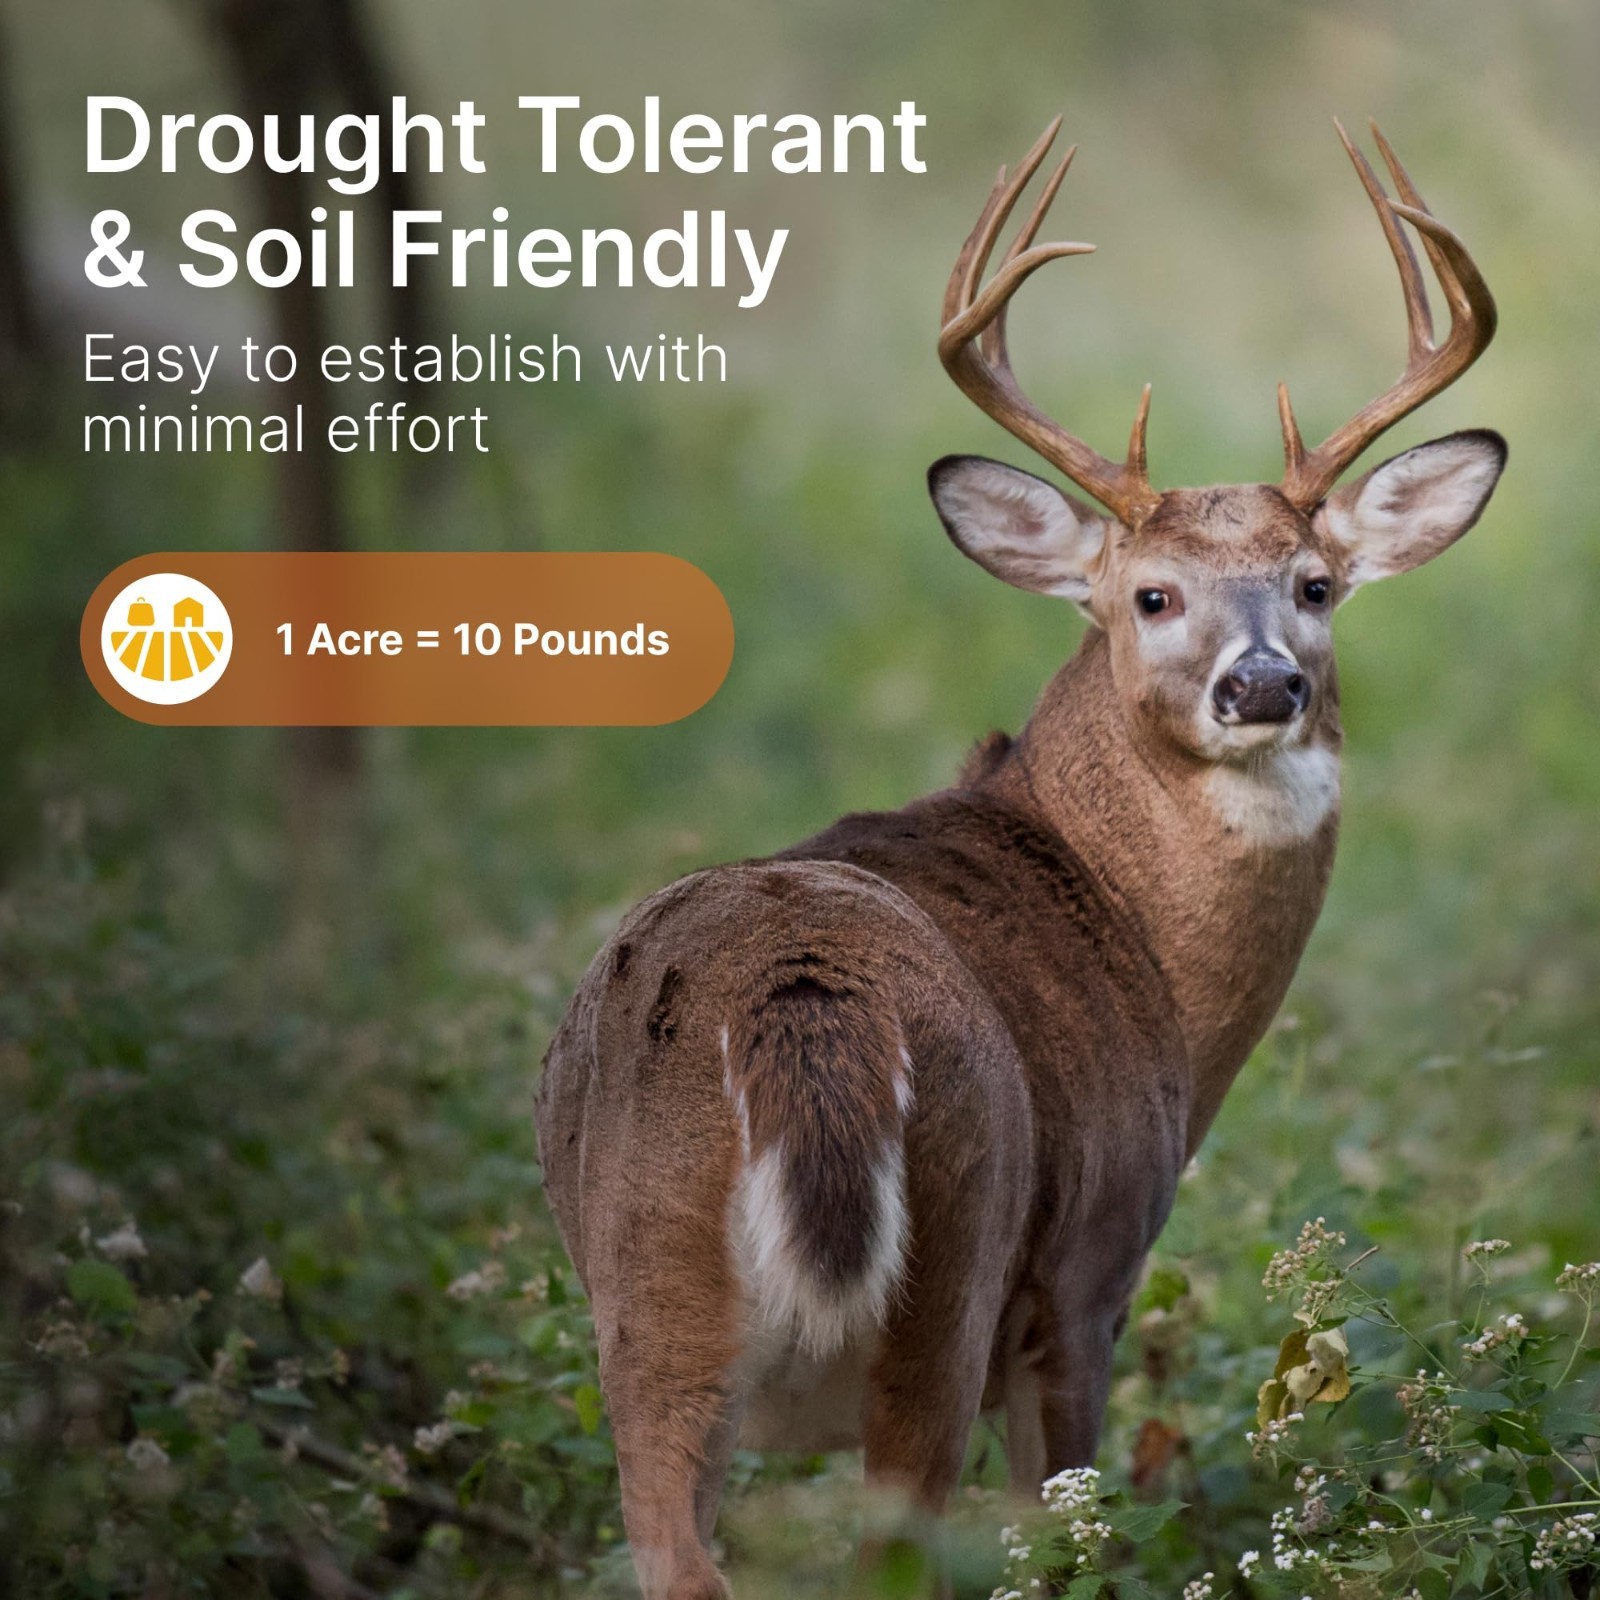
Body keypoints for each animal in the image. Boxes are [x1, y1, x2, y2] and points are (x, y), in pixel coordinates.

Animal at [535, 117, 1503, 1599]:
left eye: (1315, 585)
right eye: (1151, 594)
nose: (1263, 683)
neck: (1134, 933)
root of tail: (799, 1011)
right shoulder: (1091, 1272)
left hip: (645, 1293)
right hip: (955, 1264)